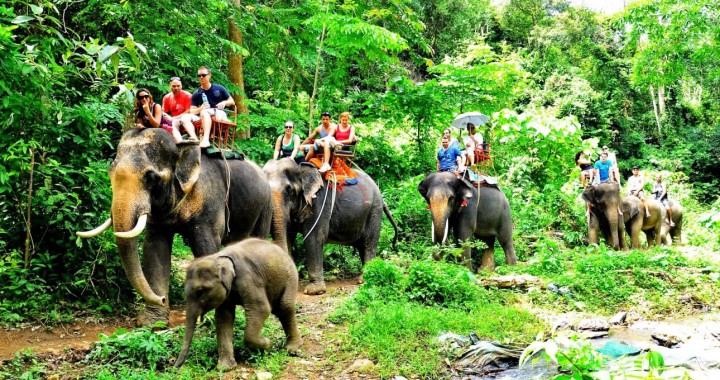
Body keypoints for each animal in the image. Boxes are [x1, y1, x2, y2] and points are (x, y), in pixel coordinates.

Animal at [76, 129, 272, 326]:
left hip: (266, 206)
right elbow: (154, 250)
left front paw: (205, 318)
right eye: (110, 173)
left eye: (150, 177)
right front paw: (153, 322)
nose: (161, 299)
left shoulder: (210, 204)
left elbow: (206, 248)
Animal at [175, 239, 304, 370]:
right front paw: (225, 368)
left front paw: (268, 344)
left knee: (284, 307)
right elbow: (223, 317)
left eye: (200, 291)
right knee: (278, 309)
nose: (174, 367)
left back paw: (291, 349)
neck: (218, 258)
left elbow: (261, 309)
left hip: (291, 276)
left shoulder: (248, 278)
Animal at [262, 159, 400, 296]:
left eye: (289, 189)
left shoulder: (319, 203)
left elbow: (314, 238)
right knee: (362, 246)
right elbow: (288, 236)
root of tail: (381, 197)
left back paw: (364, 279)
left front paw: (314, 291)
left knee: (368, 243)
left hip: (374, 211)